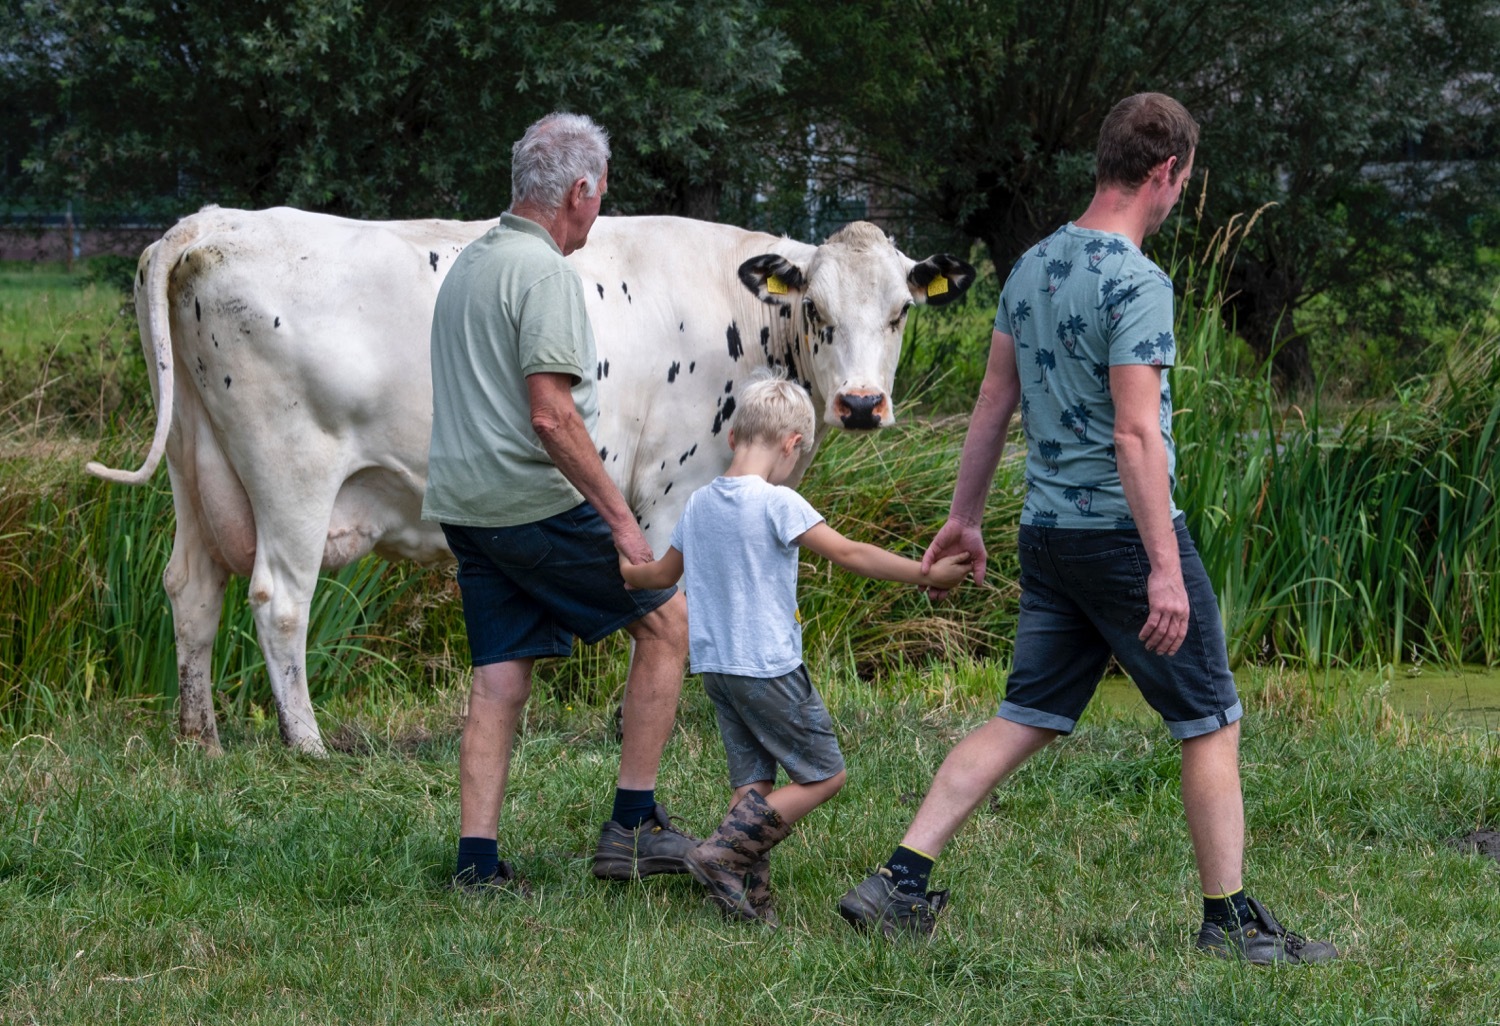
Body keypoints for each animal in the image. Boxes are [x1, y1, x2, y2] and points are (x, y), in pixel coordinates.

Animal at [87, 208, 978, 753]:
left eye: (900, 311)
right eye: (819, 310)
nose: (861, 403)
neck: (744, 315)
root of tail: (210, 223)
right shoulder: (671, 488)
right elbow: (673, 602)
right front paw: (644, 721)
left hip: (196, 468)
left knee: (190, 589)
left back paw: (200, 736)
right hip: (292, 473)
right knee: (278, 598)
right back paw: (304, 742)